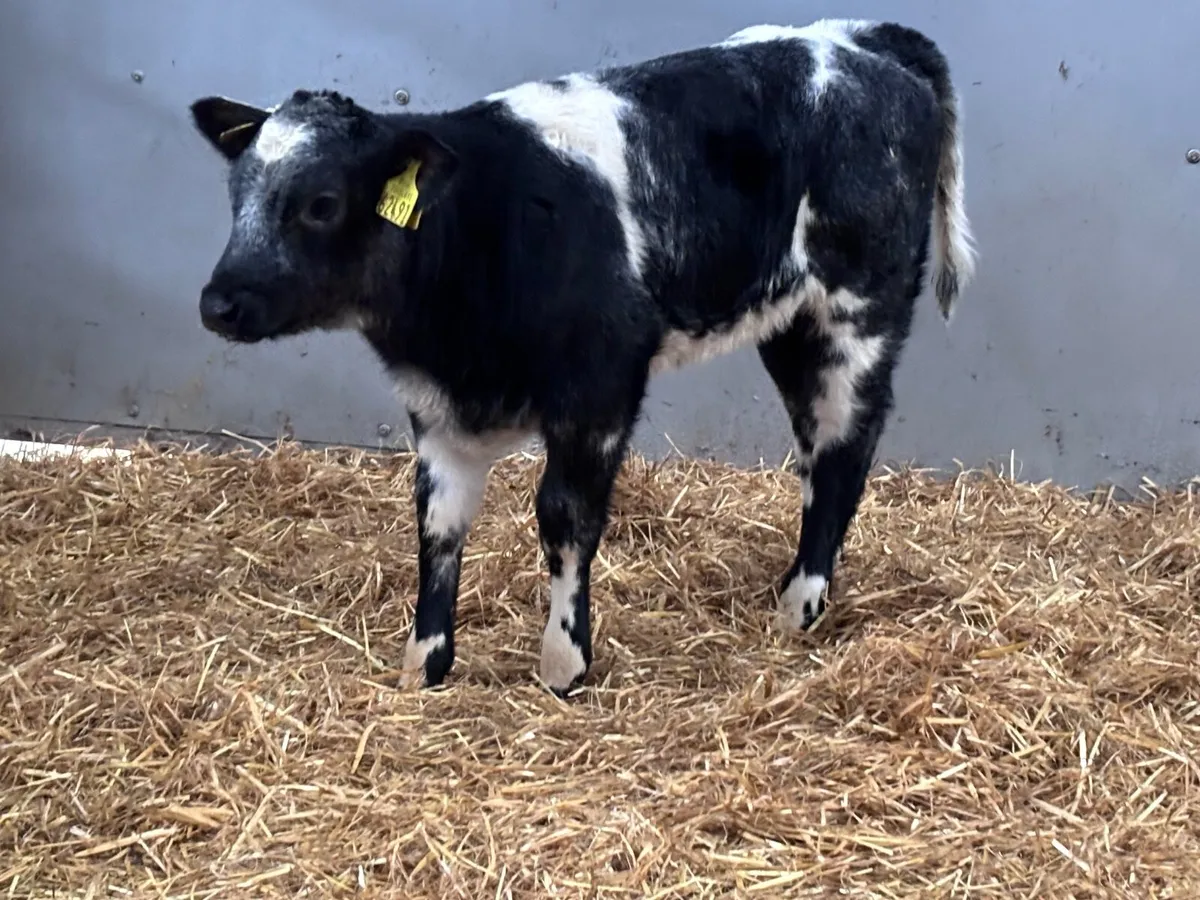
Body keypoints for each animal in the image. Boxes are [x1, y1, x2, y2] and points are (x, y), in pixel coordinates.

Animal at [188, 18, 977, 696]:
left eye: (321, 203)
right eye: (235, 195)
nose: (217, 303)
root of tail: (860, 38)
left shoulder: (600, 385)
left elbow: (565, 516)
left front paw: (564, 664)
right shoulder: (436, 409)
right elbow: (438, 526)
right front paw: (425, 663)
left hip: (857, 311)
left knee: (846, 446)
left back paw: (799, 606)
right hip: (791, 326)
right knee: (819, 449)